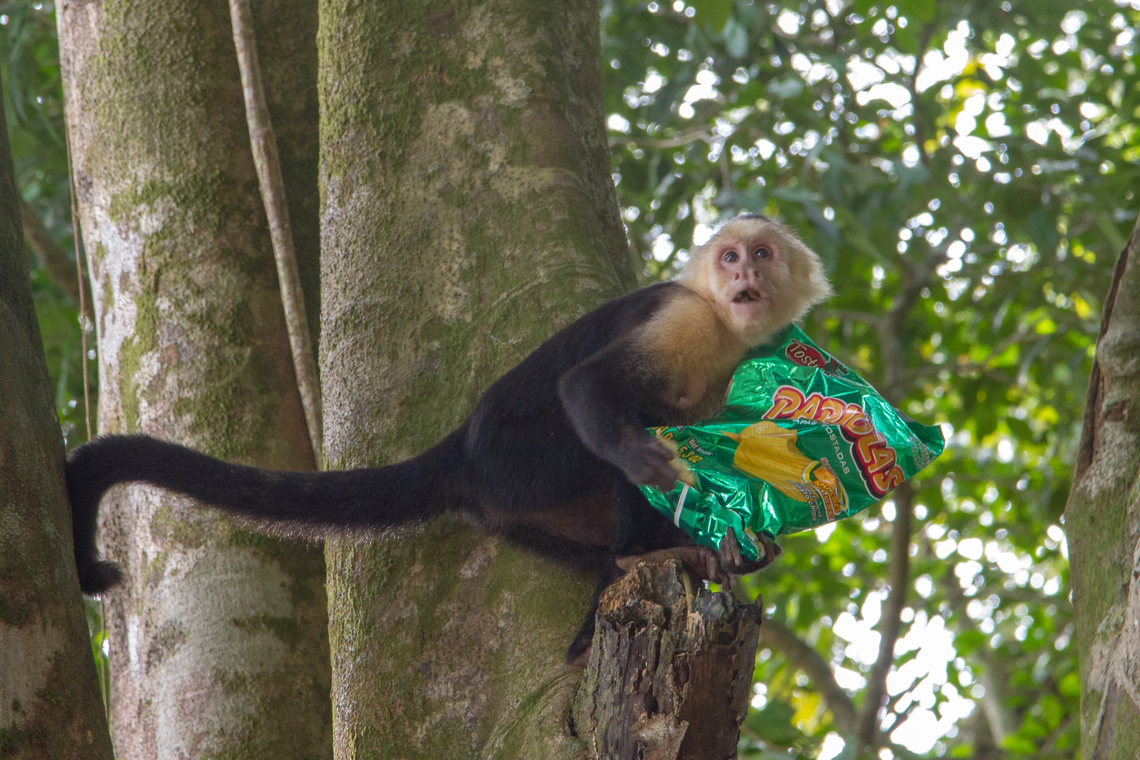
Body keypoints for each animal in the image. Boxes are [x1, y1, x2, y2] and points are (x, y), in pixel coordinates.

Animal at [66, 213, 832, 665]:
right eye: (729, 256)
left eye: (763, 253)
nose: (745, 273)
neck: (725, 332)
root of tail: (461, 449)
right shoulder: (683, 318)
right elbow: (590, 388)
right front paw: (646, 458)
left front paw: (736, 533)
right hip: (519, 462)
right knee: (607, 430)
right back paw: (643, 549)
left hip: (514, 511)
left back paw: (637, 563)